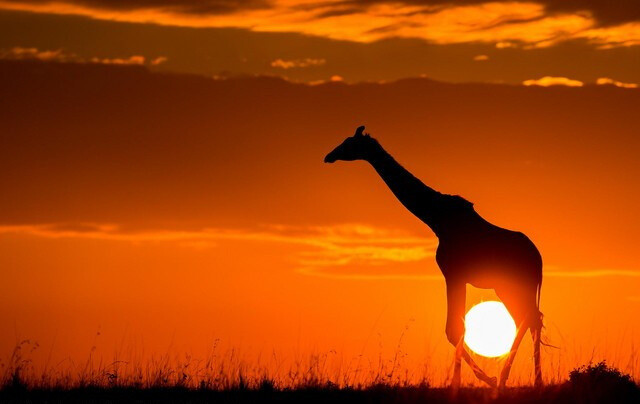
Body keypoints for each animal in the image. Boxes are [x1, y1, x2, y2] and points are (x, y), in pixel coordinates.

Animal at [322, 125, 544, 388]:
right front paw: (471, 380)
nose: (329, 156)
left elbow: (455, 330)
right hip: (506, 287)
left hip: (516, 285)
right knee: (530, 320)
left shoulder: (453, 273)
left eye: (349, 143)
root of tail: (538, 260)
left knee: (529, 320)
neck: (436, 219)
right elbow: (457, 329)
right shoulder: (457, 276)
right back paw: (524, 380)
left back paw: (507, 380)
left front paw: (464, 383)